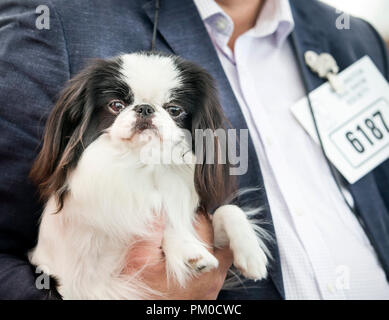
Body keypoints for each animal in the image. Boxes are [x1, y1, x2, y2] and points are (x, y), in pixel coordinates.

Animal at [28, 51, 268, 298]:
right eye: (116, 105)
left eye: (174, 110)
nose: (145, 108)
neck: (142, 165)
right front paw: (189, 252)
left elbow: (226, 210)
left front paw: (251, 255)